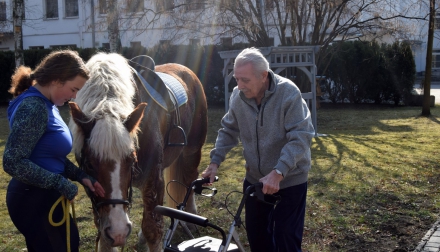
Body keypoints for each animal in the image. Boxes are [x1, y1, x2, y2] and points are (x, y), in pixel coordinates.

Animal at [68, 52, 208, 251]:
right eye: (88, 164)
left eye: (131, 159)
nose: (119, 231)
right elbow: (105, 236)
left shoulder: (154, 179)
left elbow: (153, 230)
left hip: (192, 152)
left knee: (189, 180)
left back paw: (191, 218)